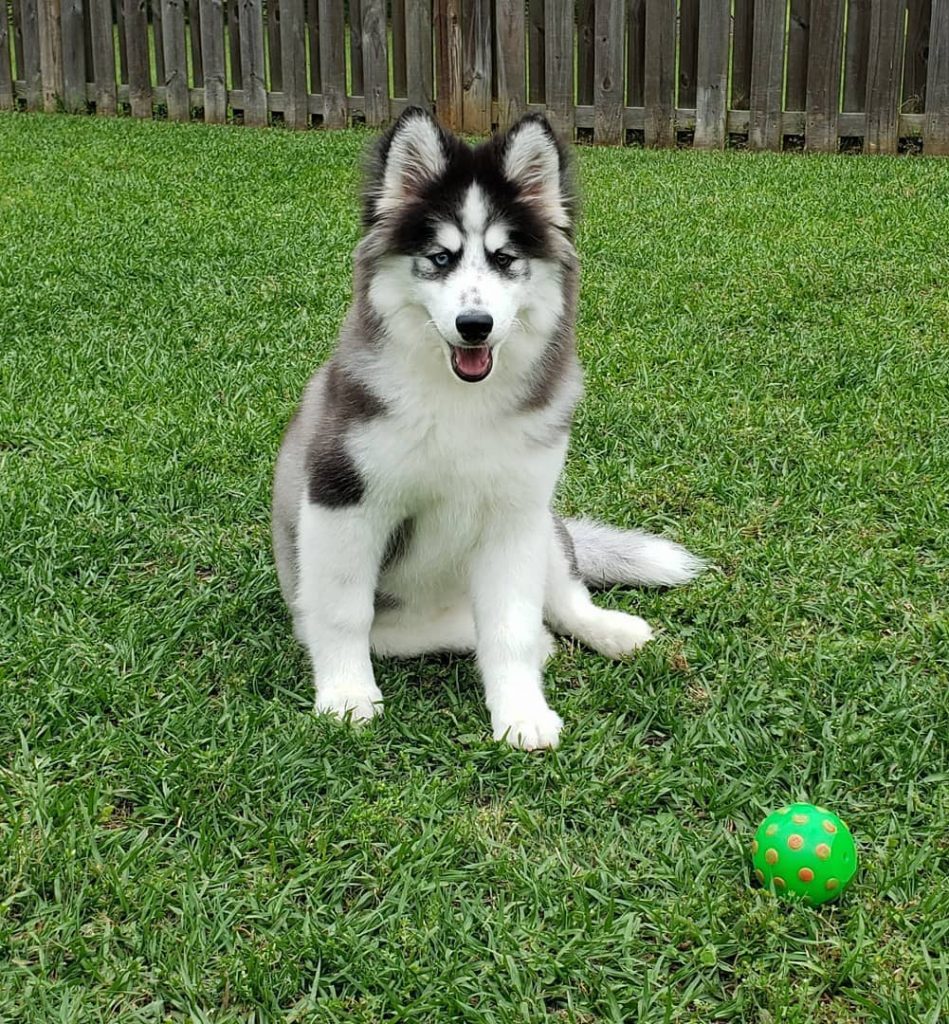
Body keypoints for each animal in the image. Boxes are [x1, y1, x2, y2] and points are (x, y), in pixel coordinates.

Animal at [270, 110, 700, 753]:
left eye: (503, 259)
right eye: (440, 258)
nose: (475, 325)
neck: (459, 405)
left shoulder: (514, 517)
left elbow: (512, 625)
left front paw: (521, 712)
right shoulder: (342, 499)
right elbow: (345, 613)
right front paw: (346, 695)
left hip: (545, 524)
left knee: (563, 596)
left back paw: (608, 629)